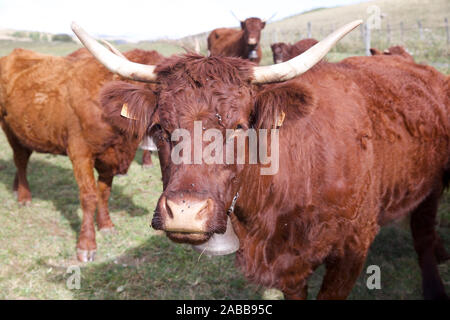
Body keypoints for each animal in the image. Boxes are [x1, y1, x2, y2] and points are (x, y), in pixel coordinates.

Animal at [74, 21, 450, 298]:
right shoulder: (289, 268)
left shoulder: (352, 249)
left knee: (422, 234)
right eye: (159, 127)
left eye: (240, 126)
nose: (185, 213)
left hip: (431, 186)